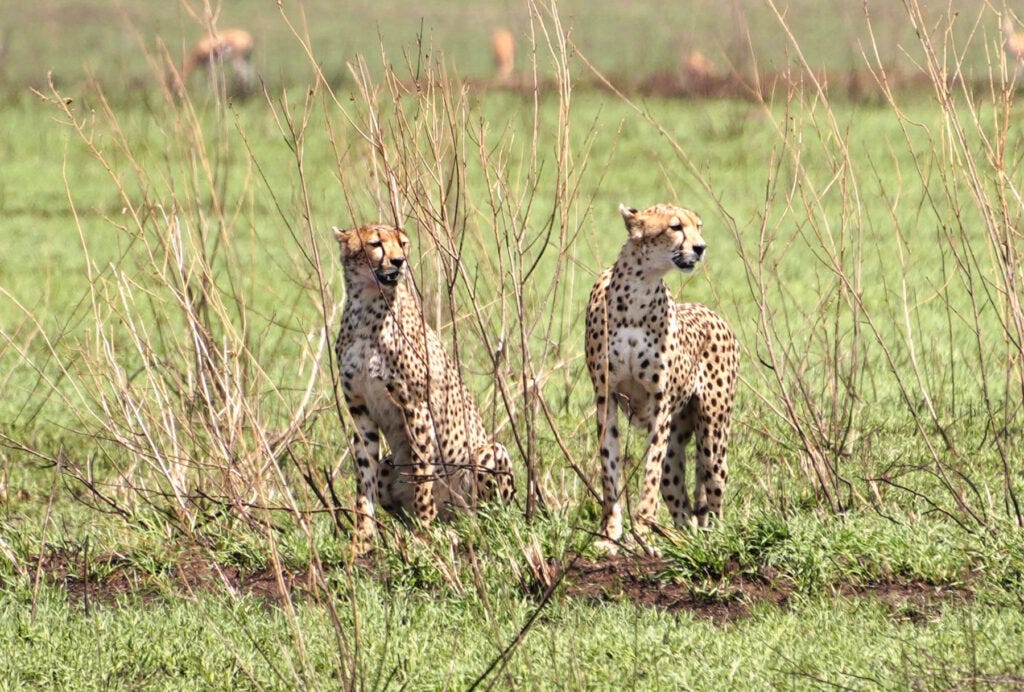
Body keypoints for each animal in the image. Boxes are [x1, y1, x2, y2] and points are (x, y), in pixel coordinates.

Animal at [333, 222, 515, 552]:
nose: (399, 261)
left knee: (487, 519)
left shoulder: (415, 407)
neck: (367, 306)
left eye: (403, 243)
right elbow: (363, 478)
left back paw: (455, 530)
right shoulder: (361, 412)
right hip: (389, 464)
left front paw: (423, 534)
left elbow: (421, 475)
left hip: (490, 453)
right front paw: (363, 537)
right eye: (375, 244)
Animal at [585, 203, 739, 555]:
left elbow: (649, 475)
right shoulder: (605, 396)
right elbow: (609, 470)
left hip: (712, 433)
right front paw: (610, 535)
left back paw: (715, 536)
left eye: (698, 226)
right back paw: (682, 539)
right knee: (680, 500)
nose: (701, 247)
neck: (639, 288)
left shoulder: (660, 404)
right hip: (680, 443)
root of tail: (713, 313)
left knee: (713, 489)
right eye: (675, 227)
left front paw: (642, 533)